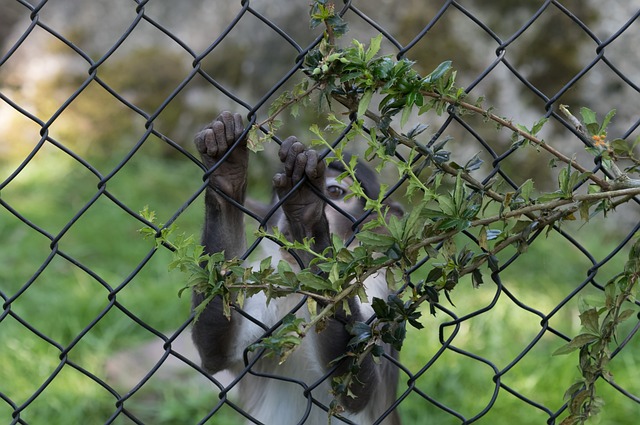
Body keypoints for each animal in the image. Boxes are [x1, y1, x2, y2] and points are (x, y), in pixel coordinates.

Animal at [191, 112, 400, 424]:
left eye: (335, 192)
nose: (288, 222)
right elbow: (217, 353)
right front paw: (227, 170)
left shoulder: (379, 289)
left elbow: (357, 393)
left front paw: (307, 211)